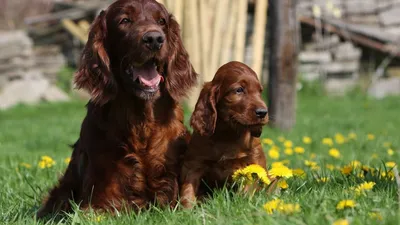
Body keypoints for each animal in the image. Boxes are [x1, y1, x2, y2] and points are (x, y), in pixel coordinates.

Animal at [180, 62, 268, 209]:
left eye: (260, 91)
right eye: (239, 90)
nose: (263, 112)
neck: (229, 134)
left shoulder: (255, 161)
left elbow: (248, 188)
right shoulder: (194, 163)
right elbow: (188, 190)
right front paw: (186, 210)